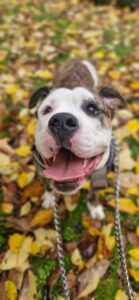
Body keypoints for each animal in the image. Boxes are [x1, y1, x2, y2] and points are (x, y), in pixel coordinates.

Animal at [29, 58, 124, 218]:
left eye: (92, 109)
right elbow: (48, 184)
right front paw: (49, 198)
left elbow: (94, 192)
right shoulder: (41, 169)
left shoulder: (99, 175)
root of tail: (77, 59)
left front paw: (95, 207)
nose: (62, 121)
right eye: (47, 110)